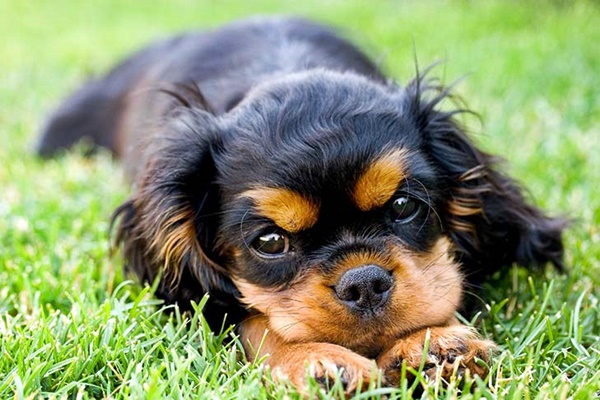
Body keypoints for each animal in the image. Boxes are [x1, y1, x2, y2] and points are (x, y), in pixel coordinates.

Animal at [38, 17, 568, 392]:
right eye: (270, 241)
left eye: (403, 206)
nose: (364, 282)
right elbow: (251, 320)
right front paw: (316, 360)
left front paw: (435, 344)